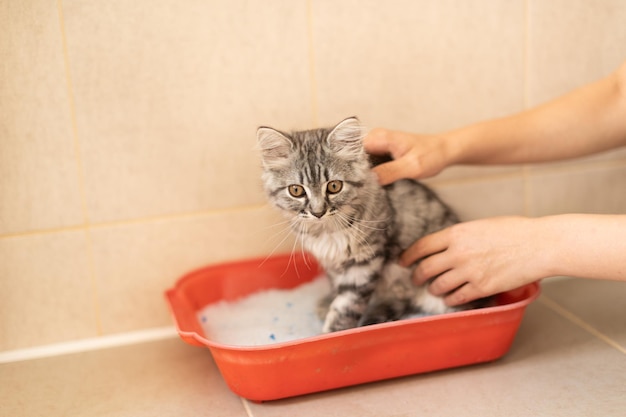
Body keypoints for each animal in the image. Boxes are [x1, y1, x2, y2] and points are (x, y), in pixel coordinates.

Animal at [258, 116, 478, 332]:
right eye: (296, 190)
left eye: (334, 186)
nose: (318, 212)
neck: (327, 231)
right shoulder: (333, 265)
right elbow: (337, 291)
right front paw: (329, 305)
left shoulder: (364, 261)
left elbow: (346, 305)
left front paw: (333, 333)